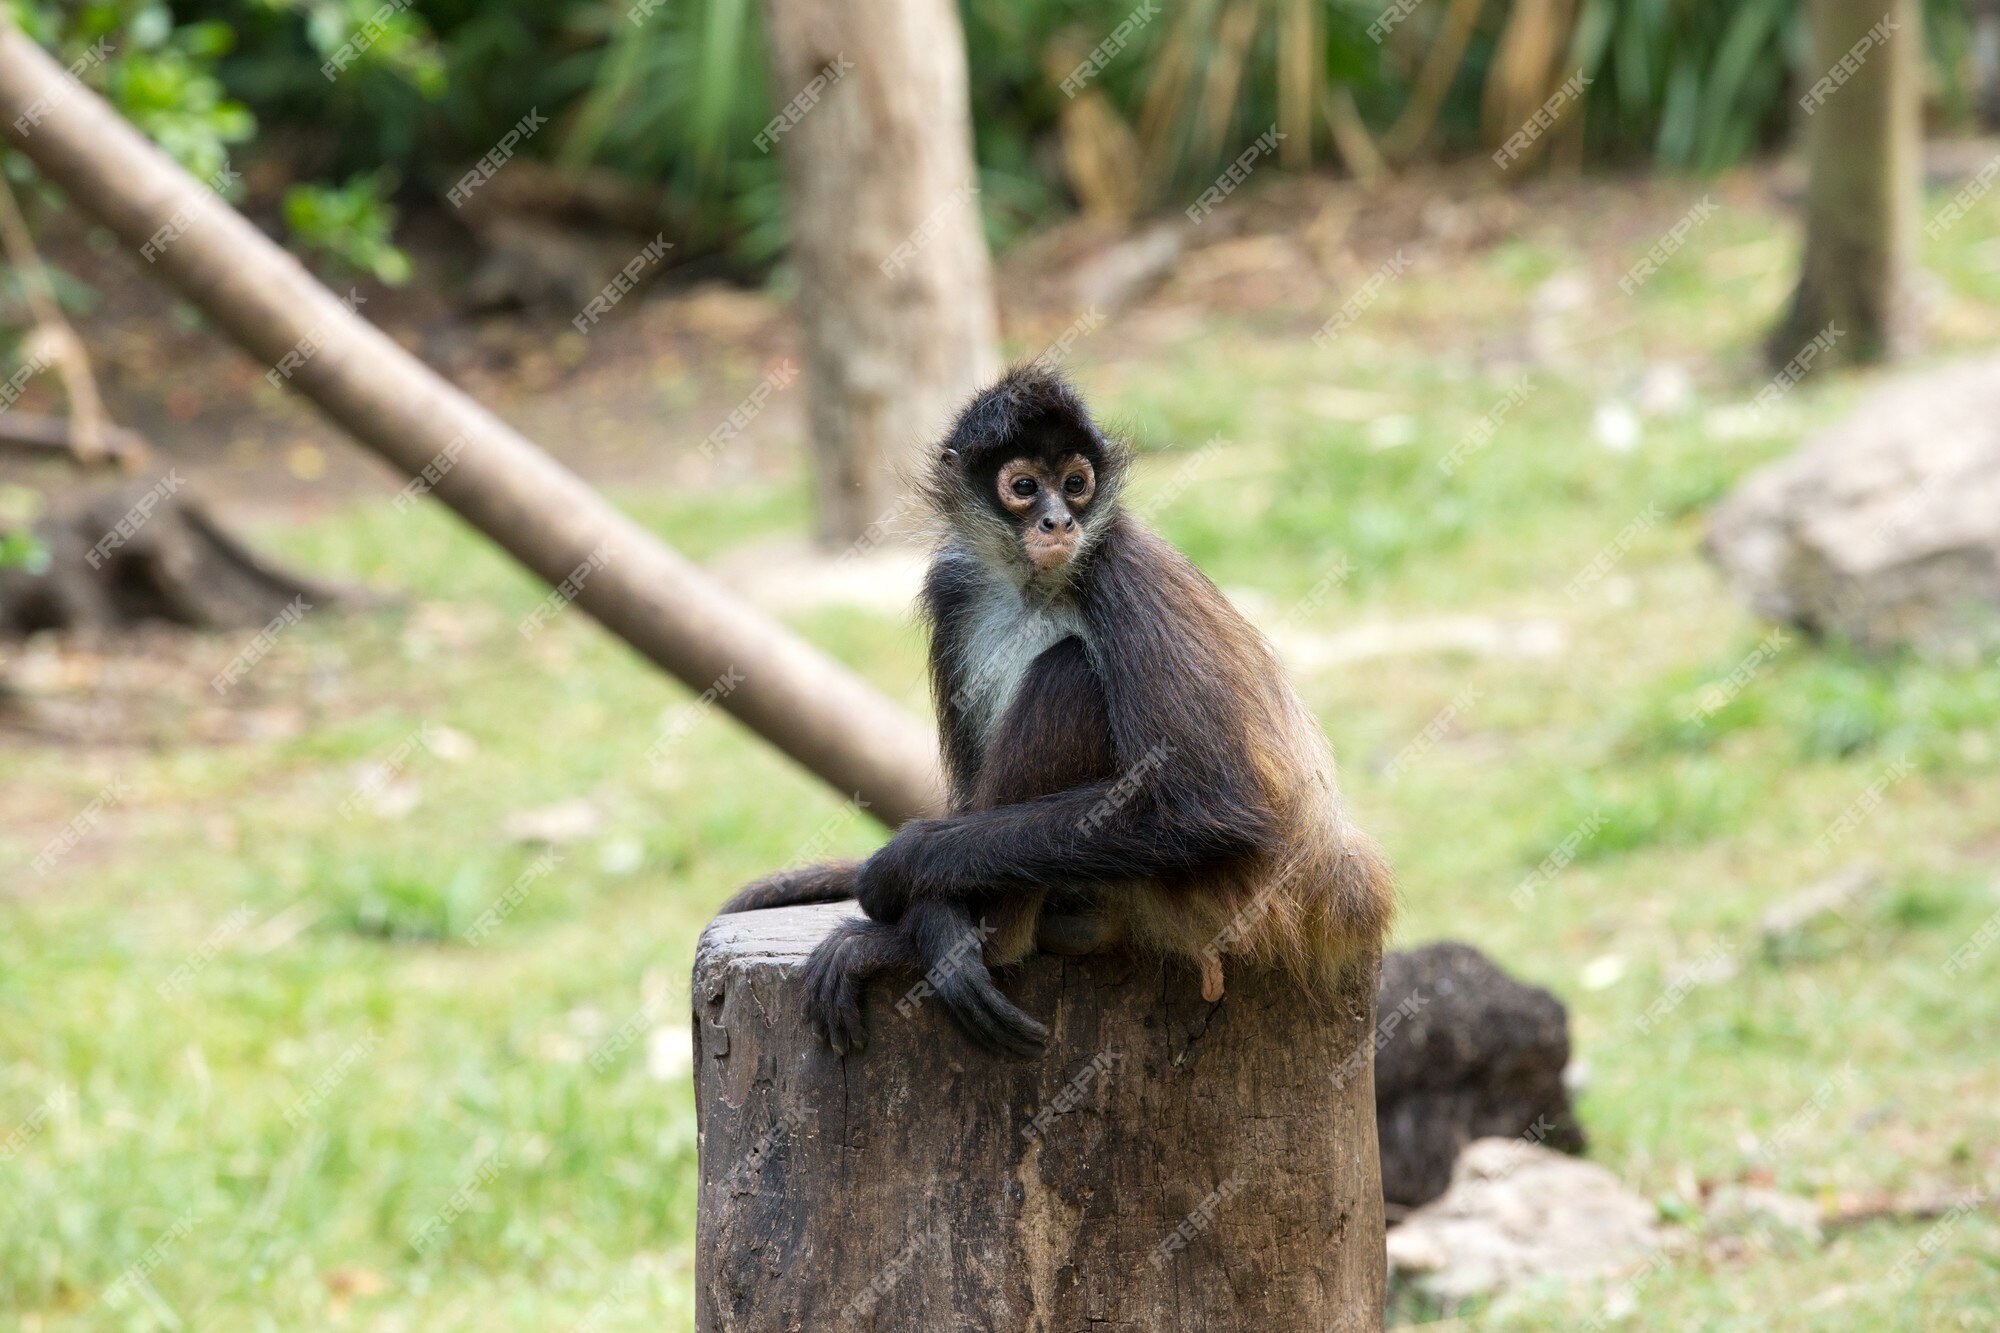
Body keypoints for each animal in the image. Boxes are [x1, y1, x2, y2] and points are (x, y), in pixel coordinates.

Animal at [720, 360, 1392, 1048]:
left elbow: (1212, 809)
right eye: (1024, 487)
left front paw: (904, 872)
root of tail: (1339, 871)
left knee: (1068, 669)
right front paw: (934, 922)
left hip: (1221, 898)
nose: (1058, 523)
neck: (1034, 586)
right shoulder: (954, 586)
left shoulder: (1125, 570)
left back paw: (949, 944)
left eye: (1075, 485)